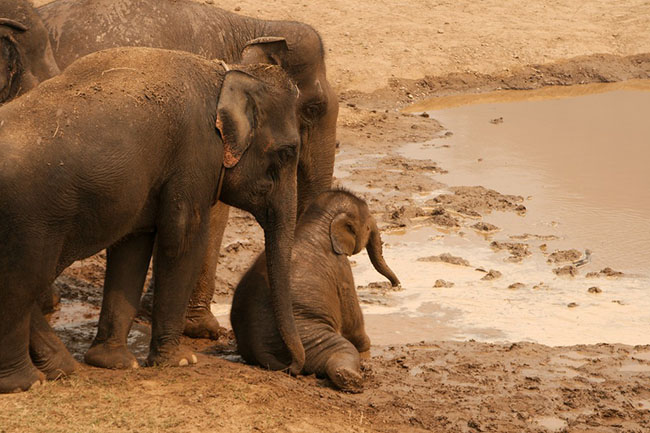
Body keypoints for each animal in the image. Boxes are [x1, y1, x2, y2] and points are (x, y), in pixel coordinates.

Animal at [0, 46, 304, 392]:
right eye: (287, 153)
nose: (292, 368)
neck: (225, 73)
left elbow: (133, 247)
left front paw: (114, 363)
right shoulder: (196, 154)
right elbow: (182, 240)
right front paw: (180, 361)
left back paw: (61, 368)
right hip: (29, 220)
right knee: (24, 281)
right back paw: (26, 382)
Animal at [230, 189, 398, 392]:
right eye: (367, 228)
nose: (396, 285)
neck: (317, 221)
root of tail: (259, 349)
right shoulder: (340, 267)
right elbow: (352, 315)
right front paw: (366, 348)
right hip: (311, 340)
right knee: (343, 349)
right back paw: (351, 380)